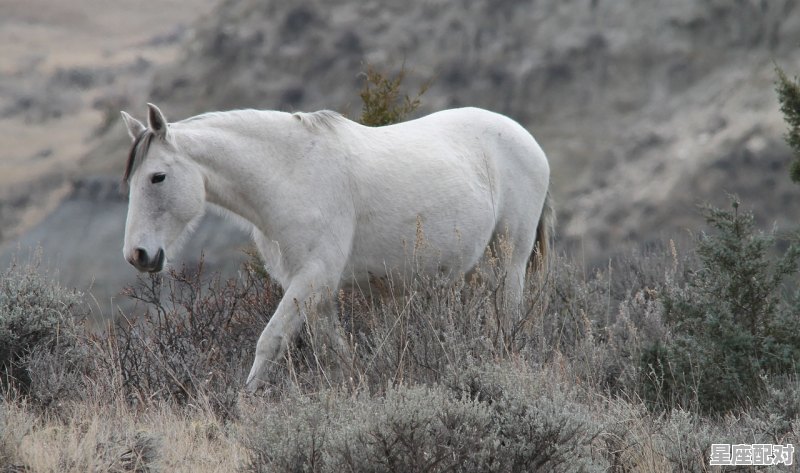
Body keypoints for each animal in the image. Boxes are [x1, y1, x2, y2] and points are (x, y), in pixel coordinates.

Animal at [120, 103, 552, 390]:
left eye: (157, 177)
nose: (137, 255)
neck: (291, 173)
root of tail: (527, 139)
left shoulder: (313, 278)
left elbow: (269, 341)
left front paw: (245, 406)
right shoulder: (313, 288)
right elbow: (336, 352)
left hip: (510, 259)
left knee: (508, 316)